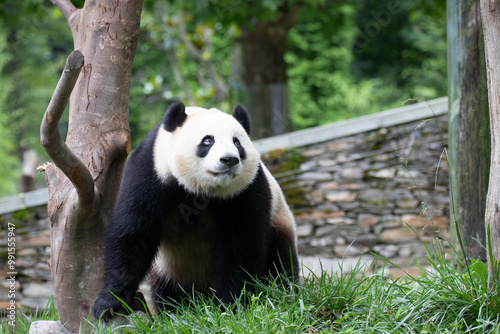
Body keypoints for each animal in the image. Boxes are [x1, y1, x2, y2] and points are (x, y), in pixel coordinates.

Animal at [92, 102, 298, 320]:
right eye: (208, 140)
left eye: (237, 143)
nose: (229, 160)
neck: (202, 189)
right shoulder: (152, 171)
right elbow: (133, 232)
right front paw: (110, 301)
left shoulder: (246, 191)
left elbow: (241, 245)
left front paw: (228, 306)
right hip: (168, 267)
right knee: (165, 287)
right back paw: (176, 309)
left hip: (279, 221)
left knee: (281, 263)